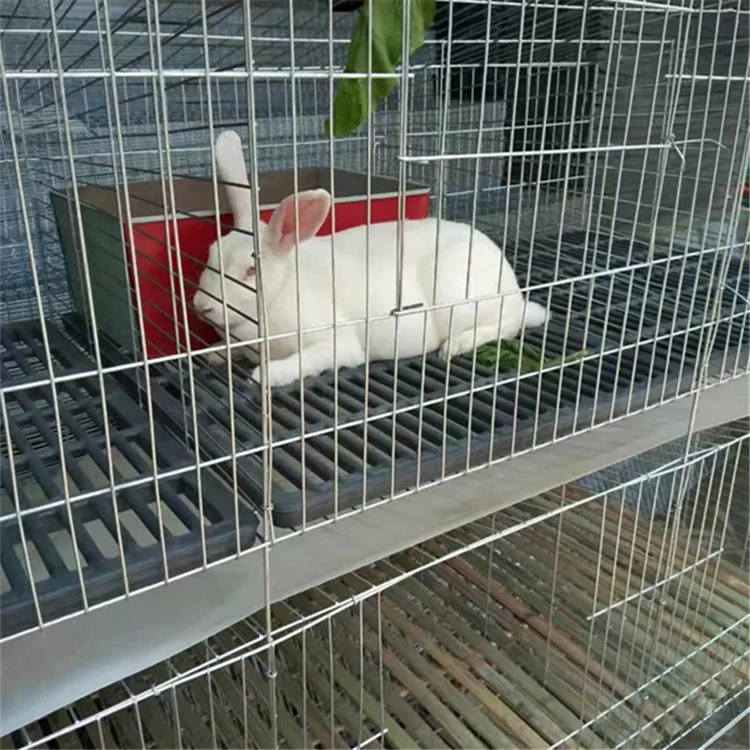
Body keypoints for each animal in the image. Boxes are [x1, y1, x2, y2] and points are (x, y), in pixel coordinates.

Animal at [192, 130, 549, 388]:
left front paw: (266, 375)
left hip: (460, 302)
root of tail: (512, 286)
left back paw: (455, 346)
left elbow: (308, 360)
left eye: (251, 270)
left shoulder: (338, 343)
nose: (200, 306)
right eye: (211, 254)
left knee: (508, 324)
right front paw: (213, 355)